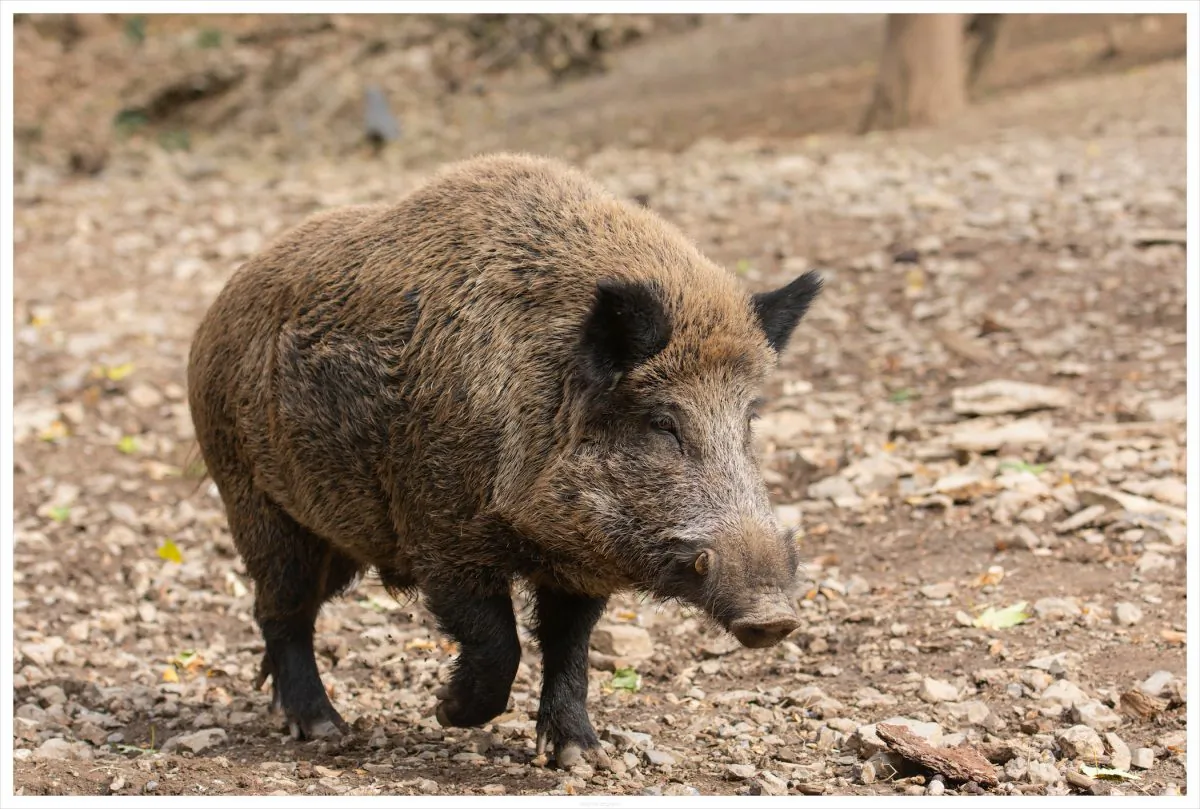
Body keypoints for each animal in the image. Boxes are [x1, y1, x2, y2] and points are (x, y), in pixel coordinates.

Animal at [186, 153, 822, 768]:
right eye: (663, 422)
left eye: (749, 418)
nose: (774, 617)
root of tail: (215, 311)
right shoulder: (440, 534)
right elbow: (499, 642)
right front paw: (446, 711)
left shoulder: (581, 564)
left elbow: (570, 648)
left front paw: (584, 759)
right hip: (253, 497)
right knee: (281, 608)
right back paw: (323, 730)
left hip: (337, 534)